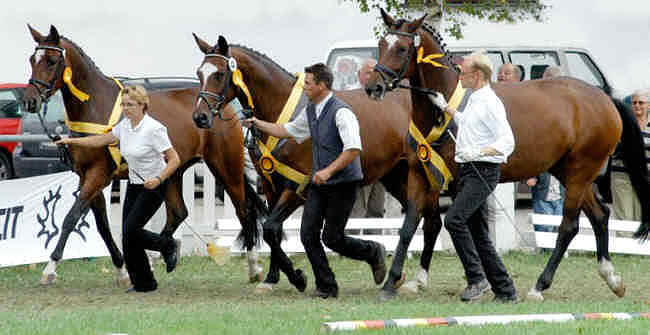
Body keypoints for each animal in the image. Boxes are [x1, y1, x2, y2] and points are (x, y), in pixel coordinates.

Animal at [22, 25, 266, 288]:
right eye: (32, 59)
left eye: (51, 60)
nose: (30, 101)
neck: (95, 107)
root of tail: (221, 107)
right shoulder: (86, 176)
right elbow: (103, 227)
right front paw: (122, 271)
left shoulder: (98, 175)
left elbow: (71, 217)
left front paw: (49, 269)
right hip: (173, 172)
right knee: (178, 213)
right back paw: (162, 255)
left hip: (225, 167)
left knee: (244, 211)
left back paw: (254, 268)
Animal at [364, 9, 648, 302]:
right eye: (381, 45)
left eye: (402, 48)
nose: (373, 87)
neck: (441, 111)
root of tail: (605, 98)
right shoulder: (421, 175)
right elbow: (410, 226)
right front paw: (392, 283)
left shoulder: (460, 182)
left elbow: (466, 228)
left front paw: (478, 283)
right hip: (568, 172)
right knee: (600, 215)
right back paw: (612, 278)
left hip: (581, 172)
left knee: (569, 226)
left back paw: (539, 286)